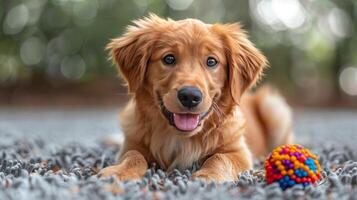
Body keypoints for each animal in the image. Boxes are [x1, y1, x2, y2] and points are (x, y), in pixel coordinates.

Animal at [98, 14, 292, 181]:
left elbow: (219, 158)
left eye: (211, 61)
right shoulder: (132, 143)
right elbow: (133, 155)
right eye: (169, 59)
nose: (190, 96)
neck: (181, 139)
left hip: (273, 107)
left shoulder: (239, 152)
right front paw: (119, 171)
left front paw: (209, 175)